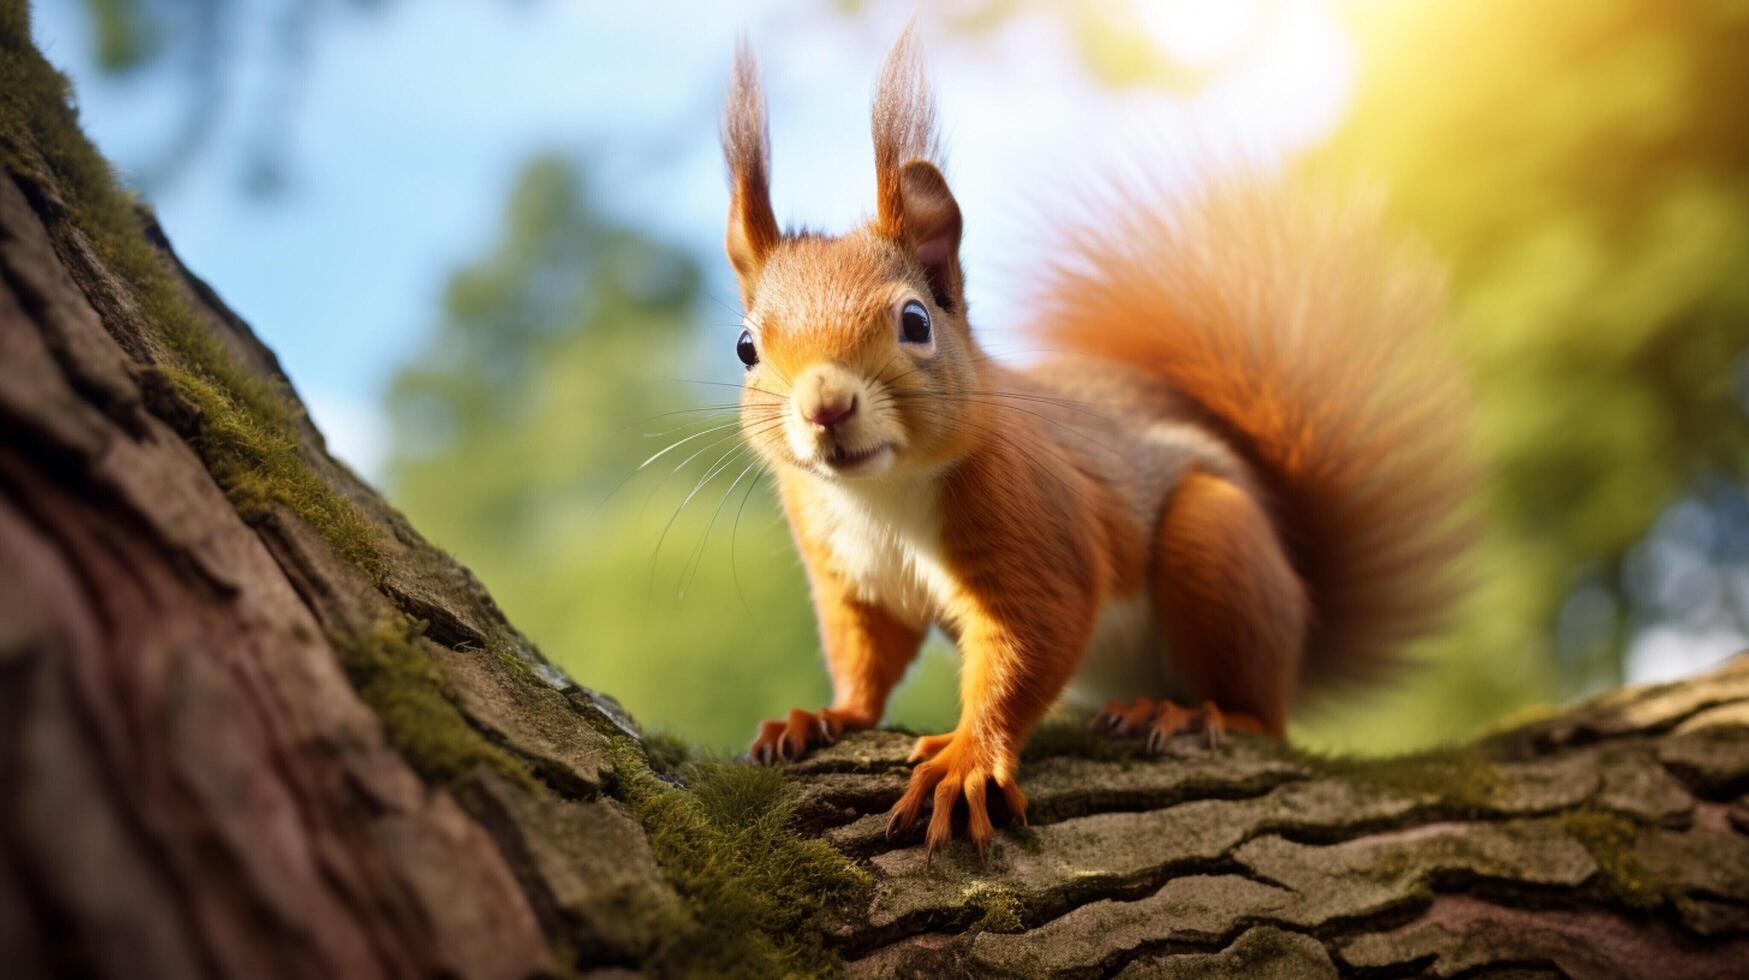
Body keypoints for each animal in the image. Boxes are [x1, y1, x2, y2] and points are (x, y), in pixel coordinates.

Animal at [717, 30, 1469, 857]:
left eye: (915, 321)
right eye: (746, 347)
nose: (825, 406)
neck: (880, 495)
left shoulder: (1035, 521)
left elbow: (1031, 641)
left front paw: (966, 759)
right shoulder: (847, 570)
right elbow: (864, 655)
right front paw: (825, 716)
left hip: (1217, 546)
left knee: (1260, 717)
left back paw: (1188, 713)